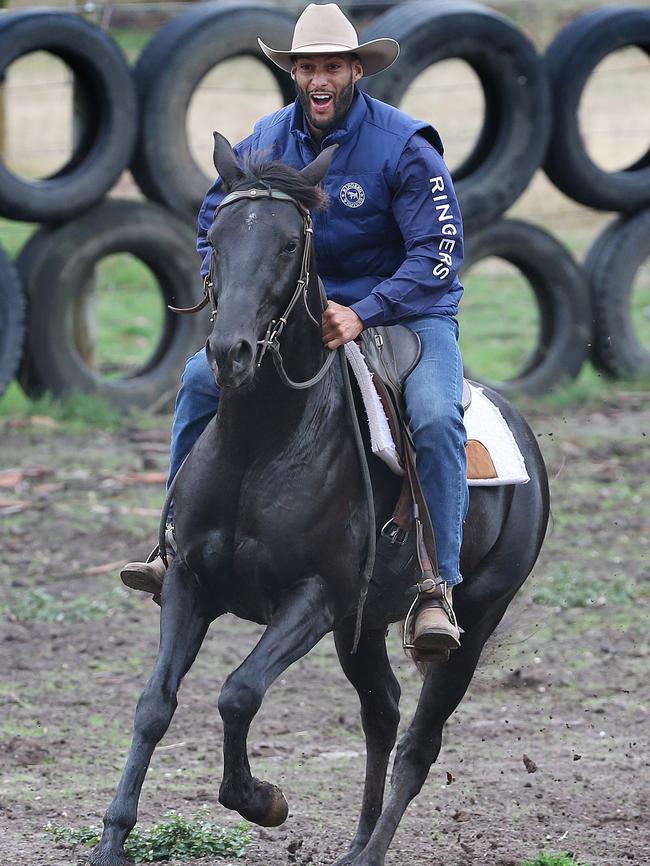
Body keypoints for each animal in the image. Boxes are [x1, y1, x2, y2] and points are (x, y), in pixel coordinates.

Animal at [90, 135, 548, 864]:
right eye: (217, 236)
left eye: (287, 245)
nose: (230, 351)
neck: (263, 443)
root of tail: (519, 427)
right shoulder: (191, 582)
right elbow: (155, 703)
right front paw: (113, 838)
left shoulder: (314, 598)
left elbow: (238, 693)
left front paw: (262, 800)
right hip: (362, 631)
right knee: (382, 712)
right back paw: (357, 842)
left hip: (475, 619)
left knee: (418, 741)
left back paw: (372, 848)